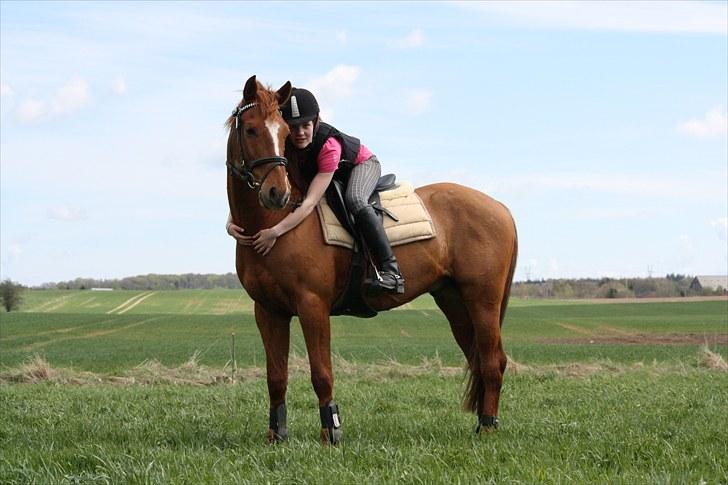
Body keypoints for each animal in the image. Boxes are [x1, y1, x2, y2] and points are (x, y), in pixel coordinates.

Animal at [228, 75, 516, 442]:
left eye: (283, 133)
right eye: (251, 130)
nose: (277, 193)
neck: (277, 224)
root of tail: (501, 208)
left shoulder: (312, 306)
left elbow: (321, 373)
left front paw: (331, 433)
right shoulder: (268, 311)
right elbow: (276, 377)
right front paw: (276, 436)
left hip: (483, 300)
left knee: (493, 361)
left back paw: (488, 427)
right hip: (454, 301)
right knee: (479, 358)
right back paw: (482, 422)